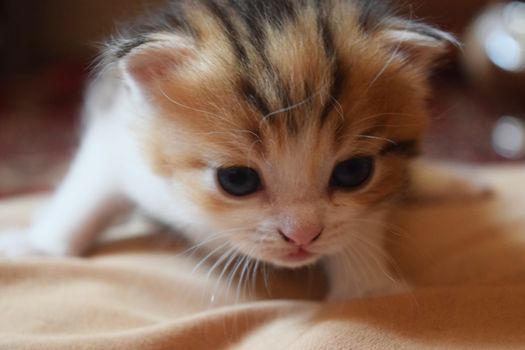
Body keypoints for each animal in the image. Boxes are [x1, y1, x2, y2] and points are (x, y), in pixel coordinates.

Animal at [0, 0, 454, 300]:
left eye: (353, 172)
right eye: (236, 180)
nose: (301, 236)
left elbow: (361, 226)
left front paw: (367, 286)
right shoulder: (117, 133)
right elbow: (87, 192)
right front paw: (39, 246)